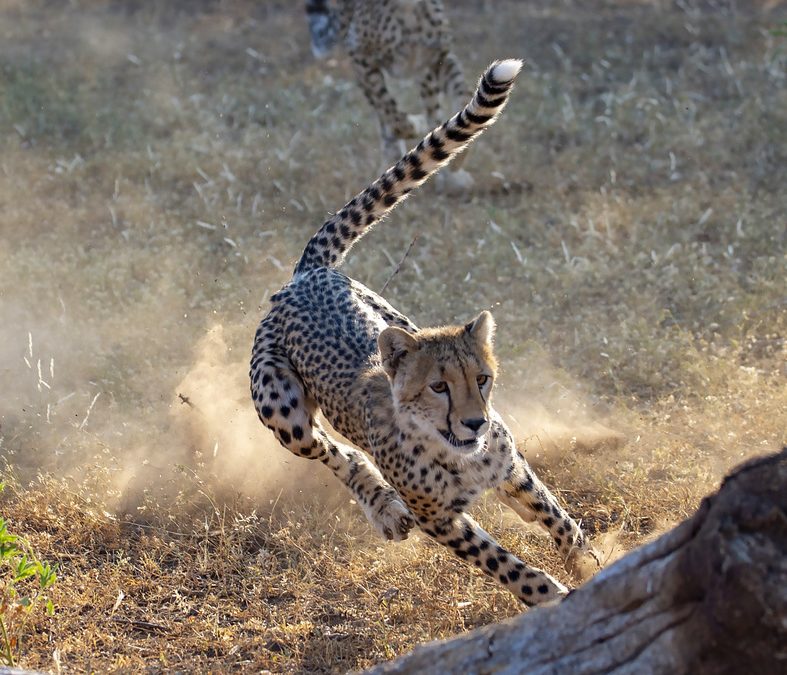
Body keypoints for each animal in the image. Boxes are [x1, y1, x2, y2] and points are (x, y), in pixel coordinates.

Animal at [250, 60, 601, 606]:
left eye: (482, 380)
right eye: (438, 387)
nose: (475, 422)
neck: (454, 452)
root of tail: (310, 275)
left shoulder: (512, 469)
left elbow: (555, 514)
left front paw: (587, 560)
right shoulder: (441, 520)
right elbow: (505, 564)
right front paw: (550, 595)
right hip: (278, 404)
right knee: (334, 450)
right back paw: (384, 508)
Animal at [305, 0, 475, 191]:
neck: (407, 9)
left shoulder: (432, 62)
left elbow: (452, 101)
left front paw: (453, 162)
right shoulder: (361, 58)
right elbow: (392, 114)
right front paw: (417, 124)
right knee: (383, 115)